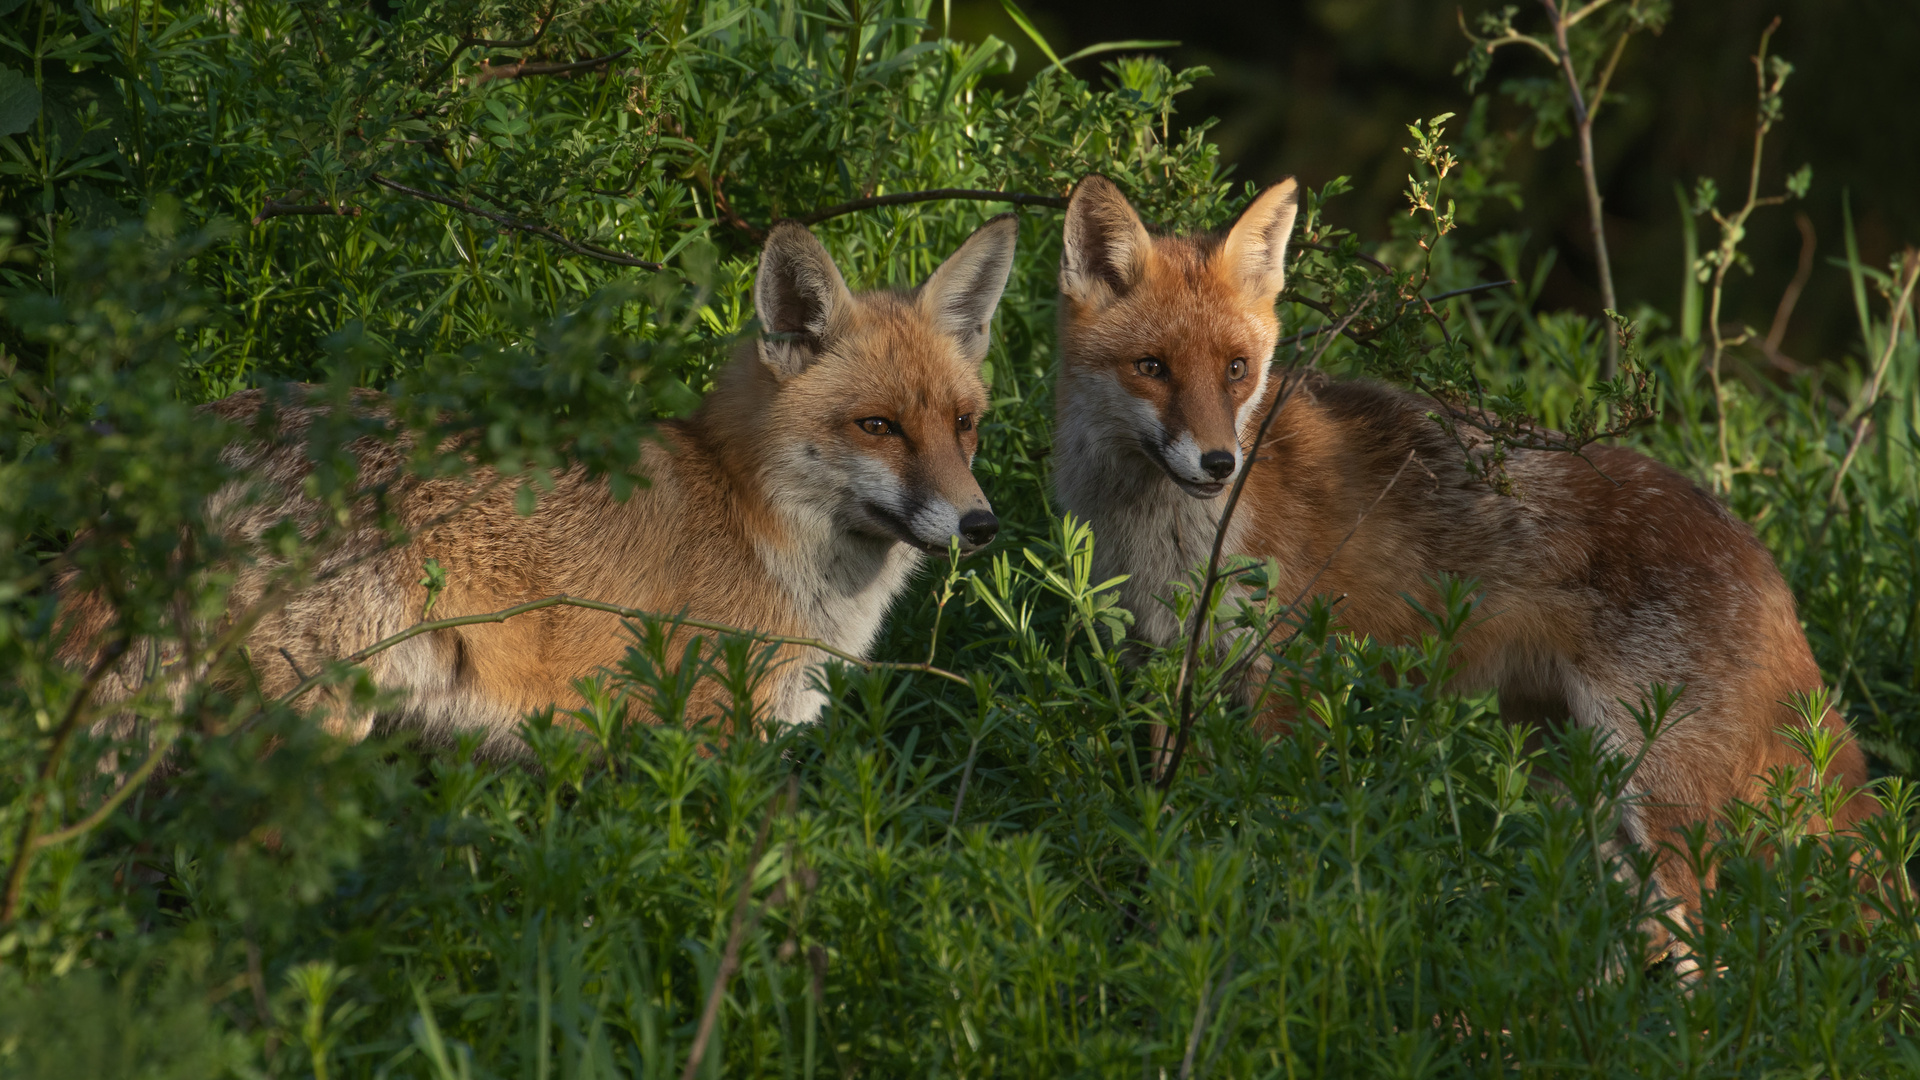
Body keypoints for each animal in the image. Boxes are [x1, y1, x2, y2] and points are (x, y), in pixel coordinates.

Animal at [1052, 171, 1873, 922]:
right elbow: (1171, 822)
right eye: (1152, 368)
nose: (1220, 463)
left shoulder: (1288, 675)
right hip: (1579, 785)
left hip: (1660, 799)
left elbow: (1270, 830)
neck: (1169, 541)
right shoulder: (1167, 667)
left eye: (1236, 369)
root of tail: (1765, 559)